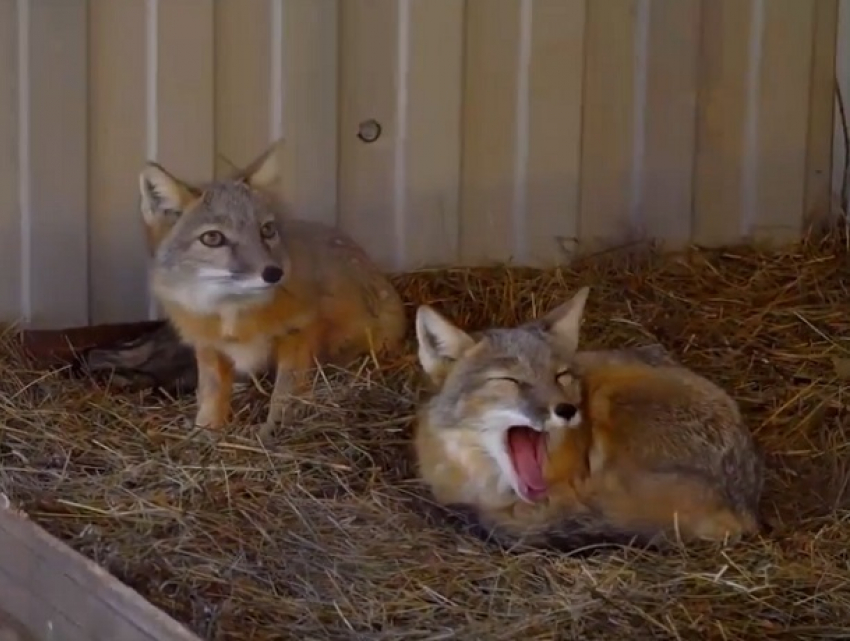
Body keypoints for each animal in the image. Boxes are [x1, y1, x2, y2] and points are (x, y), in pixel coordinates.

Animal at [137, 140, 406, 436]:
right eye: (212, 238)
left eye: (266, 230)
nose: (274, 273)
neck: (233, 315)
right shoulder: (208, 345)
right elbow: (211, 392)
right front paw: (206, 430)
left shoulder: (299, 332)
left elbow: (285, 392)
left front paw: (276, 430)